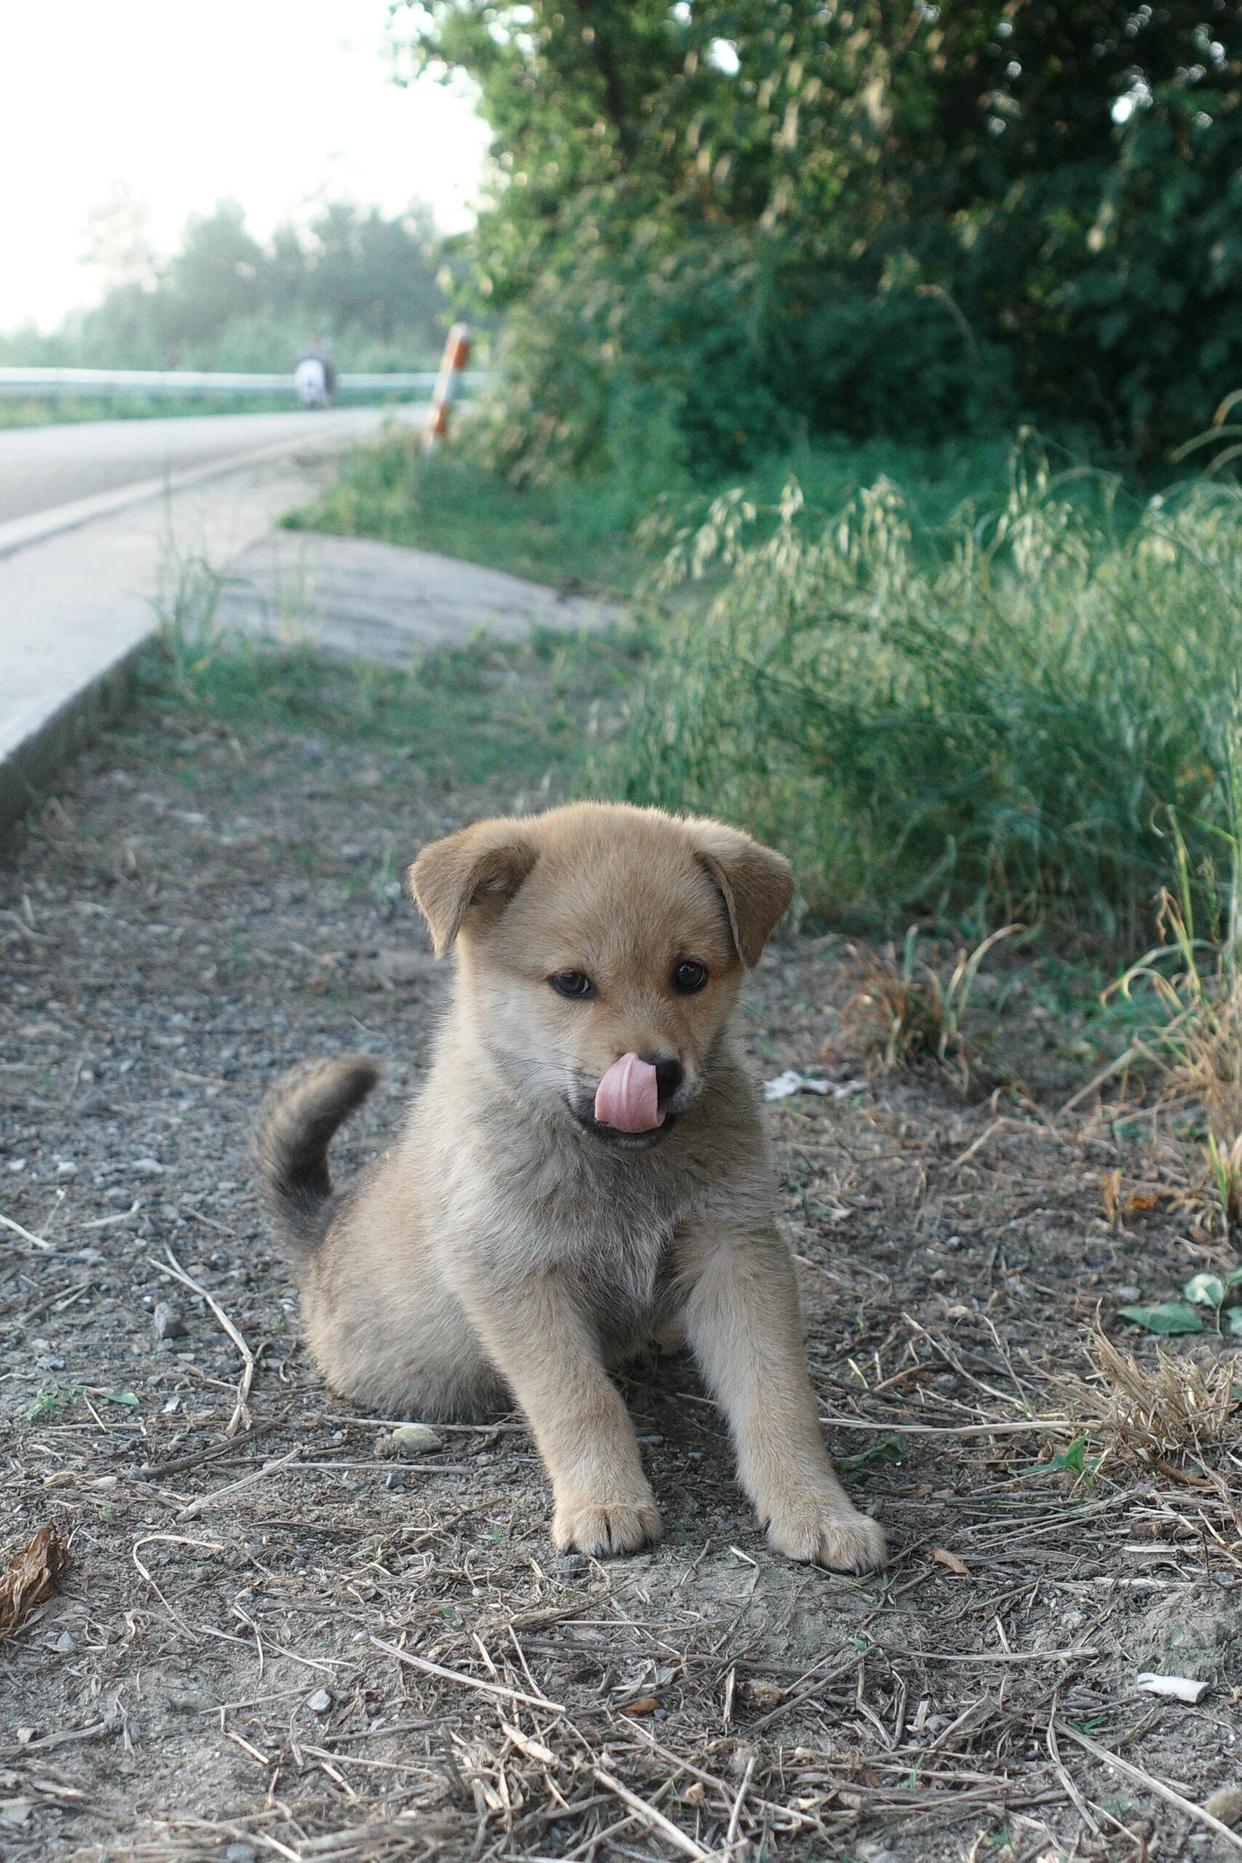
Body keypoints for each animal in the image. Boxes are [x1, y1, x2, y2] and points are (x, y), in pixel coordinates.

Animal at [256, 804, 890, 1572]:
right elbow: (581, 1399)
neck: (617, 1164)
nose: (657, 1073)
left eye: (689, 973)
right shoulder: (519, 1277)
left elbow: (777, 1394)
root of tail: (321, 1236)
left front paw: (817, 1508)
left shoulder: (735, 1250)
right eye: (572, 983)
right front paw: (605, 1504)